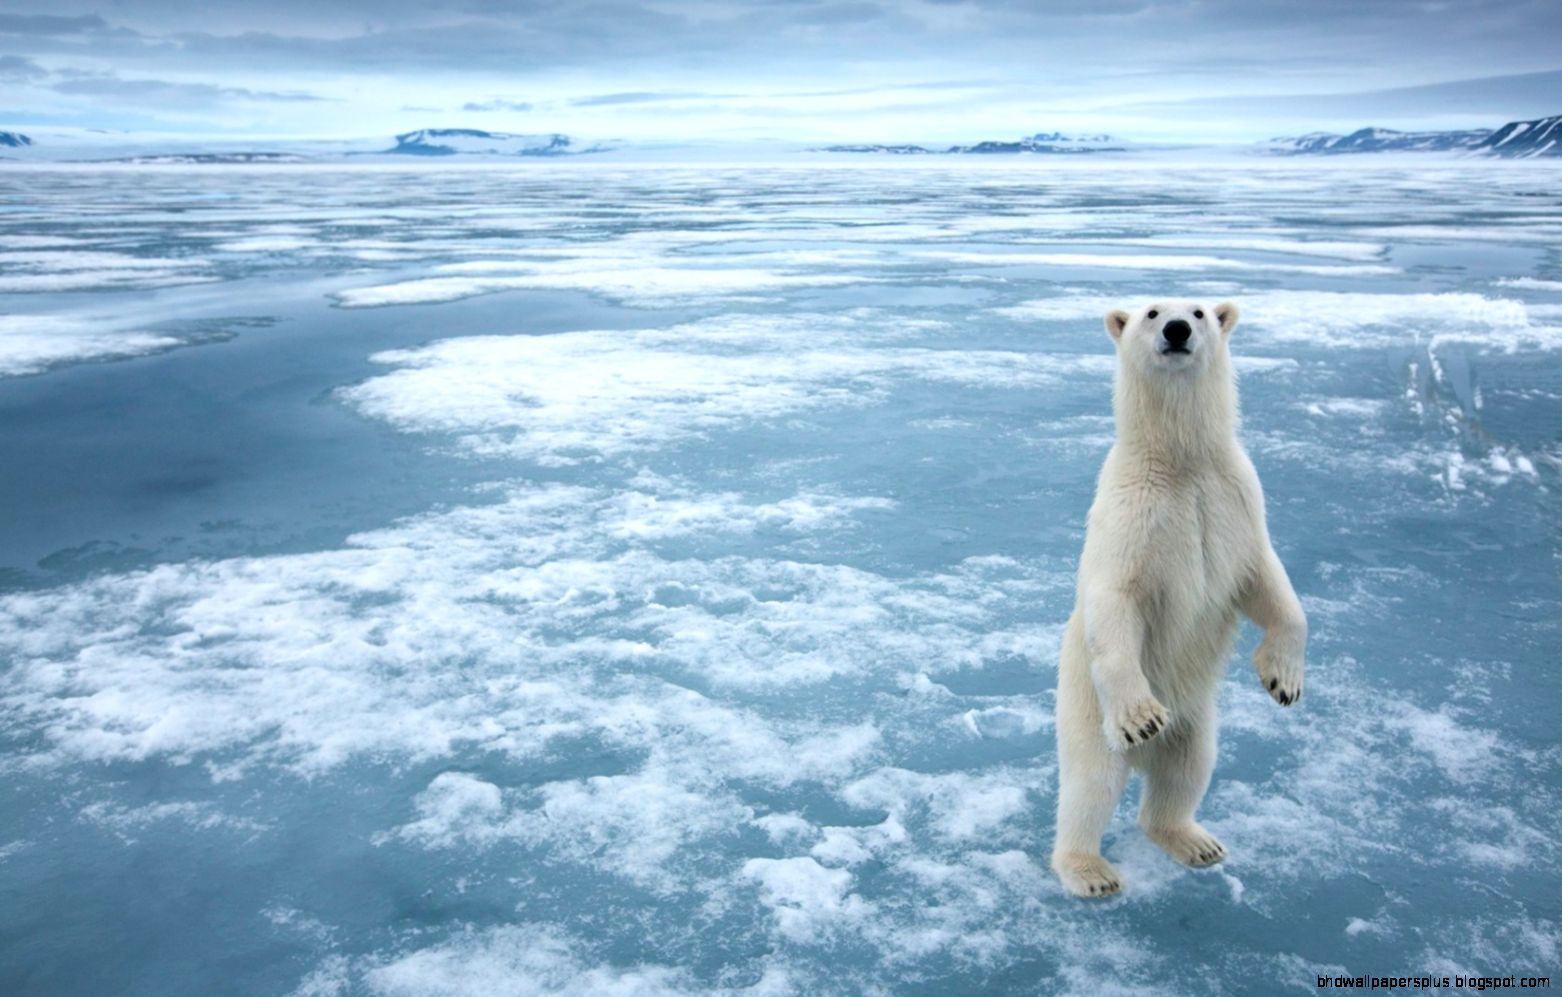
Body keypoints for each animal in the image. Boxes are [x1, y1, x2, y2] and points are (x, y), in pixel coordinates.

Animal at [1050, 300, 1307, 898]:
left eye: (1199, 310)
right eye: (1150, 311)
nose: (1177, 329)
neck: (1182, 462)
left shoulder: (1236, 501)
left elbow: (1269, 584)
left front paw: (1283, 680)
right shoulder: (1131, 515)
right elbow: (1115, 601)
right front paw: (1142, 716)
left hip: (1197, 719)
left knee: (1187, 771)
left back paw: (1195, 841)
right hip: (1085, 710)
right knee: (1090, 785)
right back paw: (1089, 870)